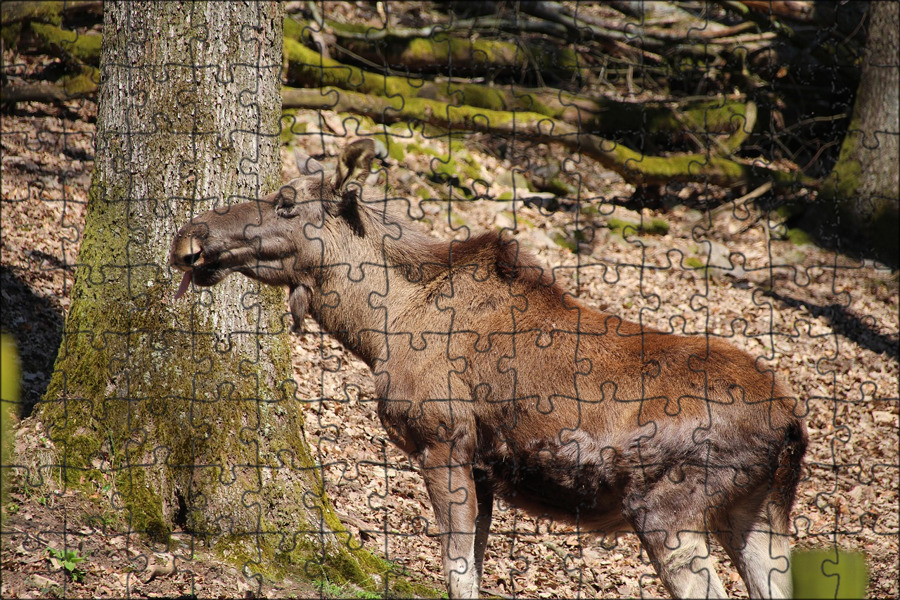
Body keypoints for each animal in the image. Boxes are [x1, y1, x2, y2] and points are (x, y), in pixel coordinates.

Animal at [172, 141, 804, 600]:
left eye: (285, 202)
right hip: (759, 513)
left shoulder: (442, 441)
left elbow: (456, 573)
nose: (189, 236)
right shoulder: (483, 469)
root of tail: (791, 426)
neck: (379, 329)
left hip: (668, 508)